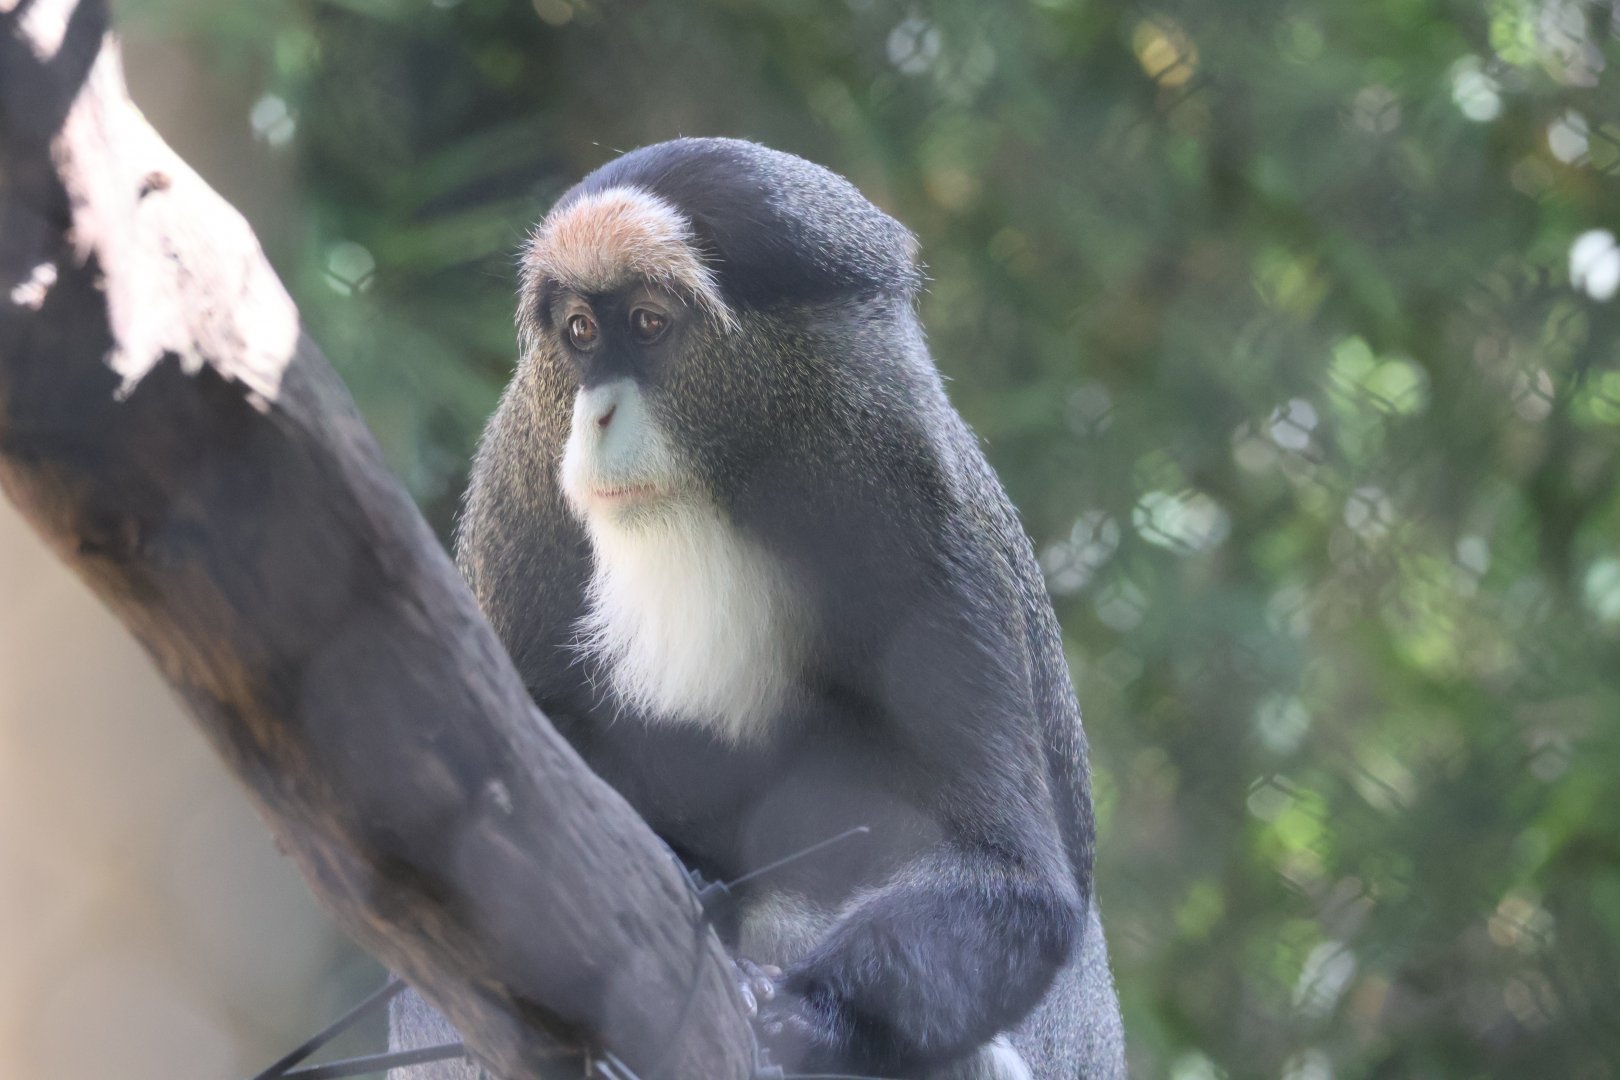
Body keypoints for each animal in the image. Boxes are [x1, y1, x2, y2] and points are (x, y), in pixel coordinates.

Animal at [389, 137, 1125, 1080]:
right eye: (581, 332)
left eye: (650, 323)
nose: (595, 416)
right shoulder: (519, 480)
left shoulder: (924, 516)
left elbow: (1015, 882)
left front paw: (805, 1017)